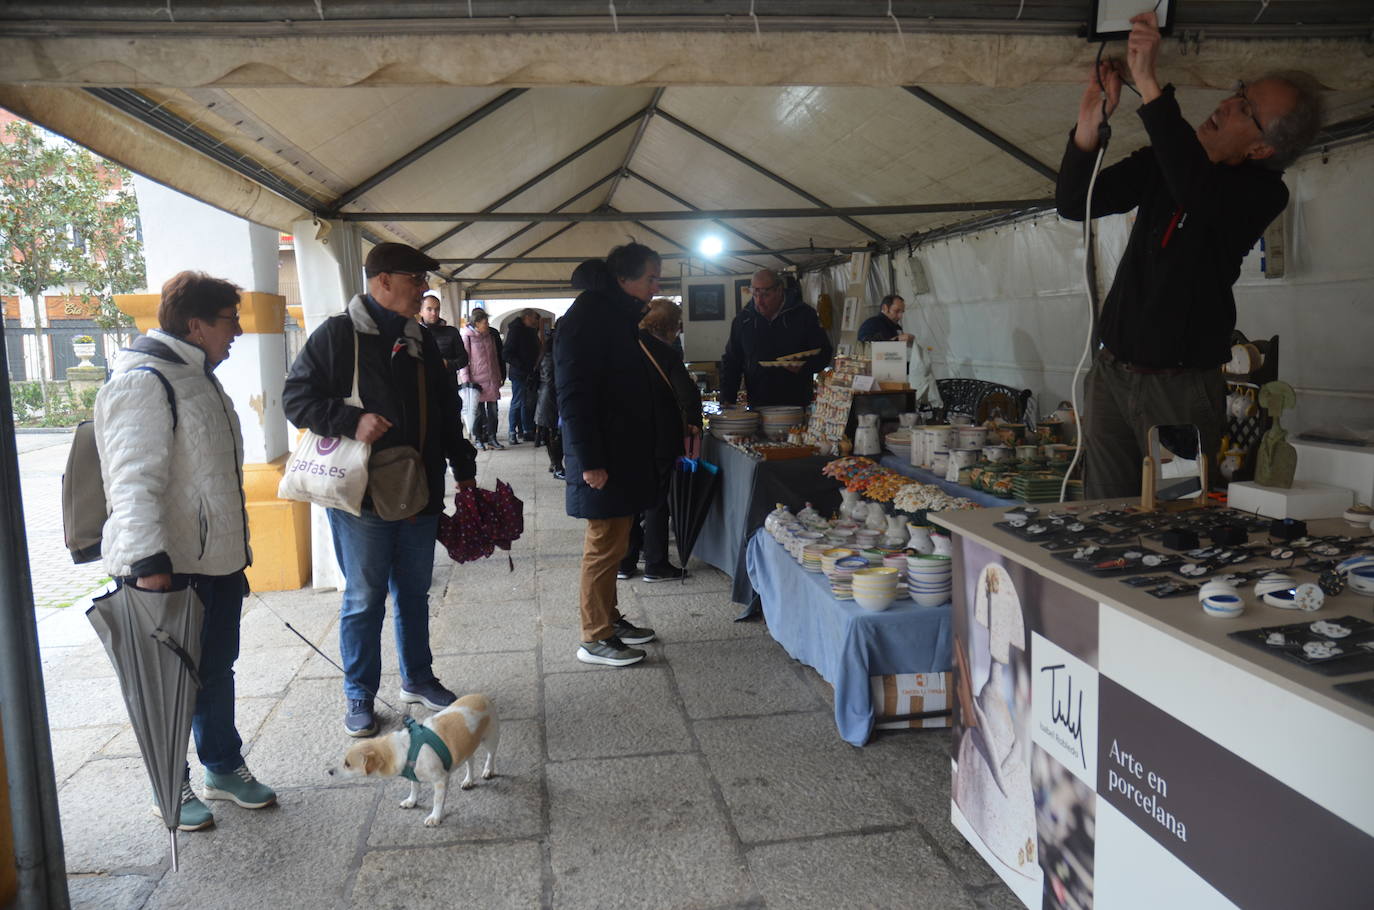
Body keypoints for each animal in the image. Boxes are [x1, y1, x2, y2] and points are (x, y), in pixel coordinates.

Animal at [327, 695, 500, 830]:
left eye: (347, 764)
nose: (329, 771)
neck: (402, 748)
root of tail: (483, 696)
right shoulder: (414, 775)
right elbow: (414, 788)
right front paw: (411, 801)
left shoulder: (440, 780)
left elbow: (437, 801)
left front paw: (435, 817)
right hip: (468, 746)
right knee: (471, 761)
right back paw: (468, 780)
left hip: (490, 739)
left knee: (491, 755)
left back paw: (488, 770)